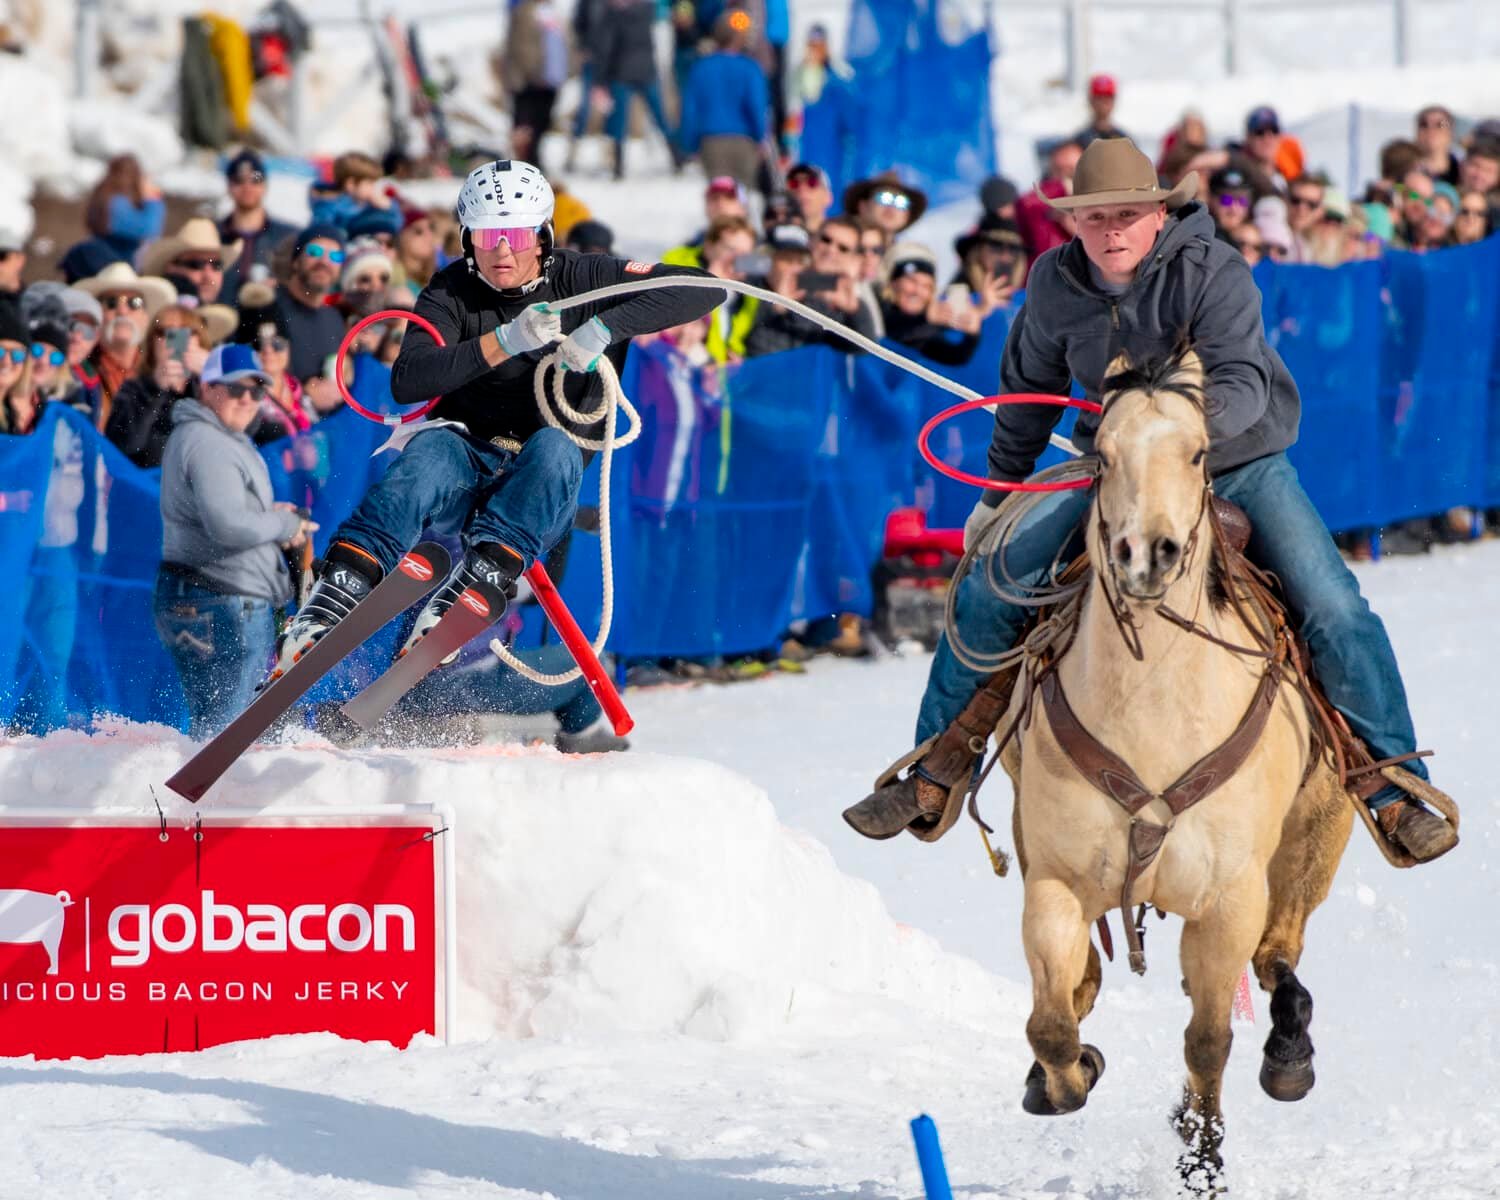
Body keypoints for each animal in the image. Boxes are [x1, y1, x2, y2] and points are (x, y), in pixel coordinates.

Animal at [1002, 346, 1356, 1188]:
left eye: (1197, 452)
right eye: (1101, 454)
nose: (1146, 554)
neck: (1152, 711)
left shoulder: (1228, 901)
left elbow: (1208, 1041)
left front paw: (1202, 1160)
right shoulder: (1055, 881)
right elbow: (1050, 1023)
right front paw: (1067, 1077)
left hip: (1311, 844)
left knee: (1277, 959)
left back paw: (1288, 1052)